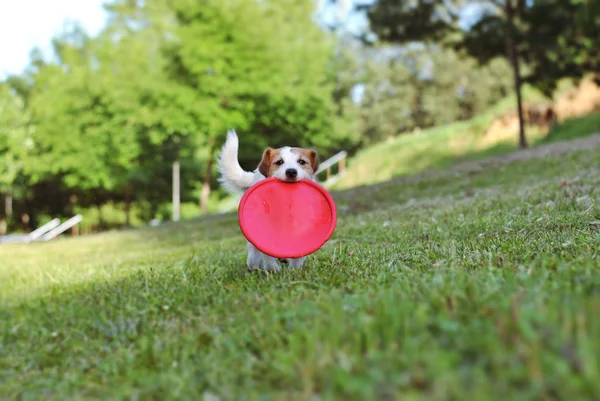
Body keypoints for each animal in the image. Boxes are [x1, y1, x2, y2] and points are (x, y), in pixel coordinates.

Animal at [217, 130, 318, 270]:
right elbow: (267, 251)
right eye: (279, 162)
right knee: (253, 249)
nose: (291, 172)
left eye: (301, 162)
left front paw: (295, 268)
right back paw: (254, 264)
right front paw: (272, 269)